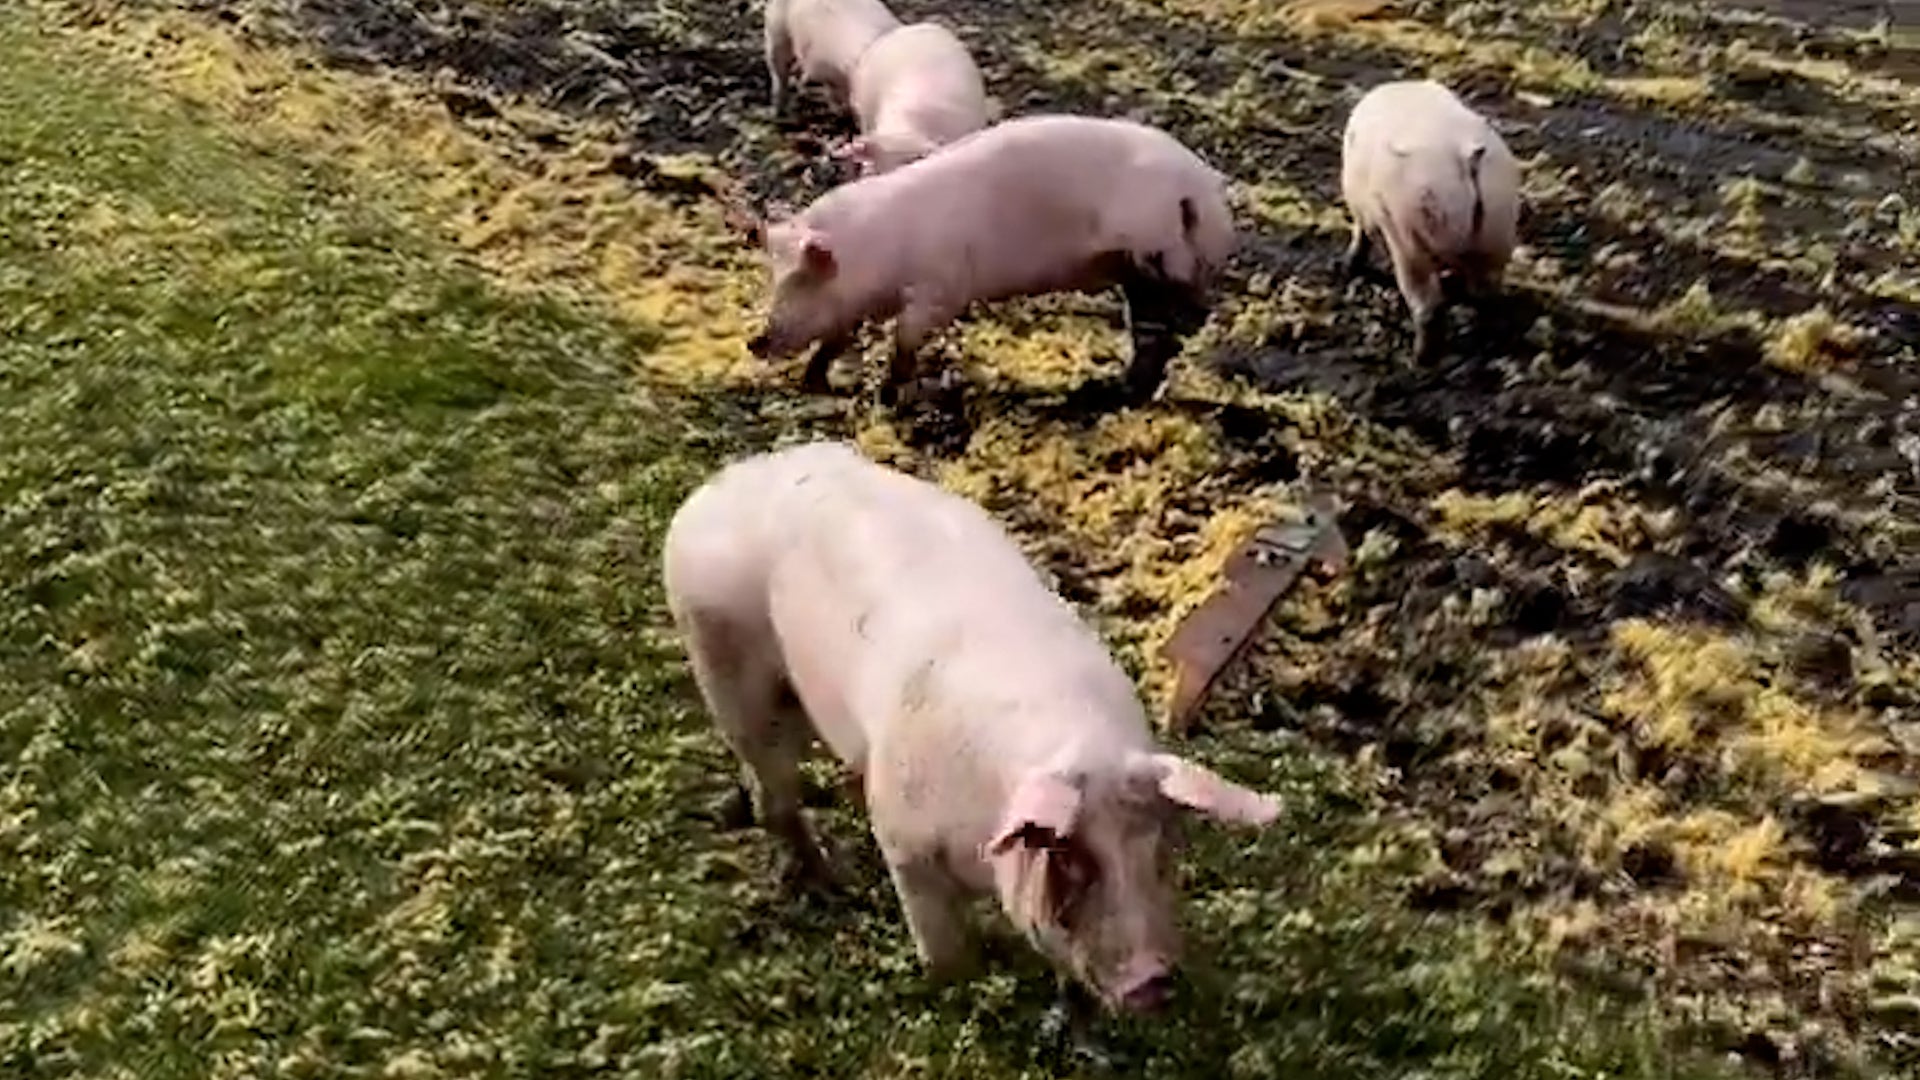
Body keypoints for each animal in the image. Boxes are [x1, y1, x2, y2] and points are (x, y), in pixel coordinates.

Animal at [663, 440, 1280, 1014]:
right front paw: (958, 988)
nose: (1150, 980)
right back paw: (829, 878)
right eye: (1071, 861)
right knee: (772, 784)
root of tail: (724, 483)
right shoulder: (903, 840)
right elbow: (943, 947)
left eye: (1160, 850)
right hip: (721, 658)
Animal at [725, 113, 1238, 406]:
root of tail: (1208, 189)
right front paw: (813, 383)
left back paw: (1121, 394)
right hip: (1141, 271)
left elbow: (905, 337)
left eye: (802, 280)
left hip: (1157, 259)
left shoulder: (942, 288)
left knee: (1171, 330)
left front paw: (888, 396)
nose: (755, 340)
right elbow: (838, 336)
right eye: (773, 275)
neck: (878, 253)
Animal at [1339, 78, 1521, 361]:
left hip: (1411, 239)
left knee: (1428, 306)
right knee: (1486, 296)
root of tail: (1466, 160)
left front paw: (1348, 267)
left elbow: (1361, 234)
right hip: (1498, 231)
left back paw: (1419, 360)